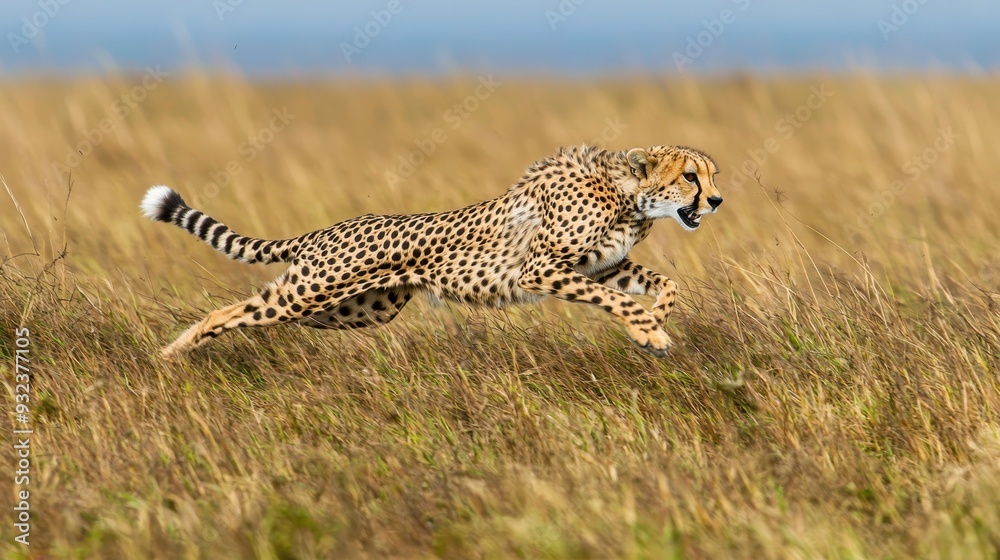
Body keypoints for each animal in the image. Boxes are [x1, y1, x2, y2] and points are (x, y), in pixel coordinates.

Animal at [141, 145, 723, 360]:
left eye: (712, 175)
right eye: (690, 177)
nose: (716, 200)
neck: (628, 197)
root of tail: (329, 230)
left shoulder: (602, 266)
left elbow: (663, 283)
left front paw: (654, 322)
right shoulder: (541, 270)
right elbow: (620, 301)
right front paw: (650, 332)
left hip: (356, 310)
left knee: (258, 310)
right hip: (312, 292)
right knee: (231, 310)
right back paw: (173, 353)